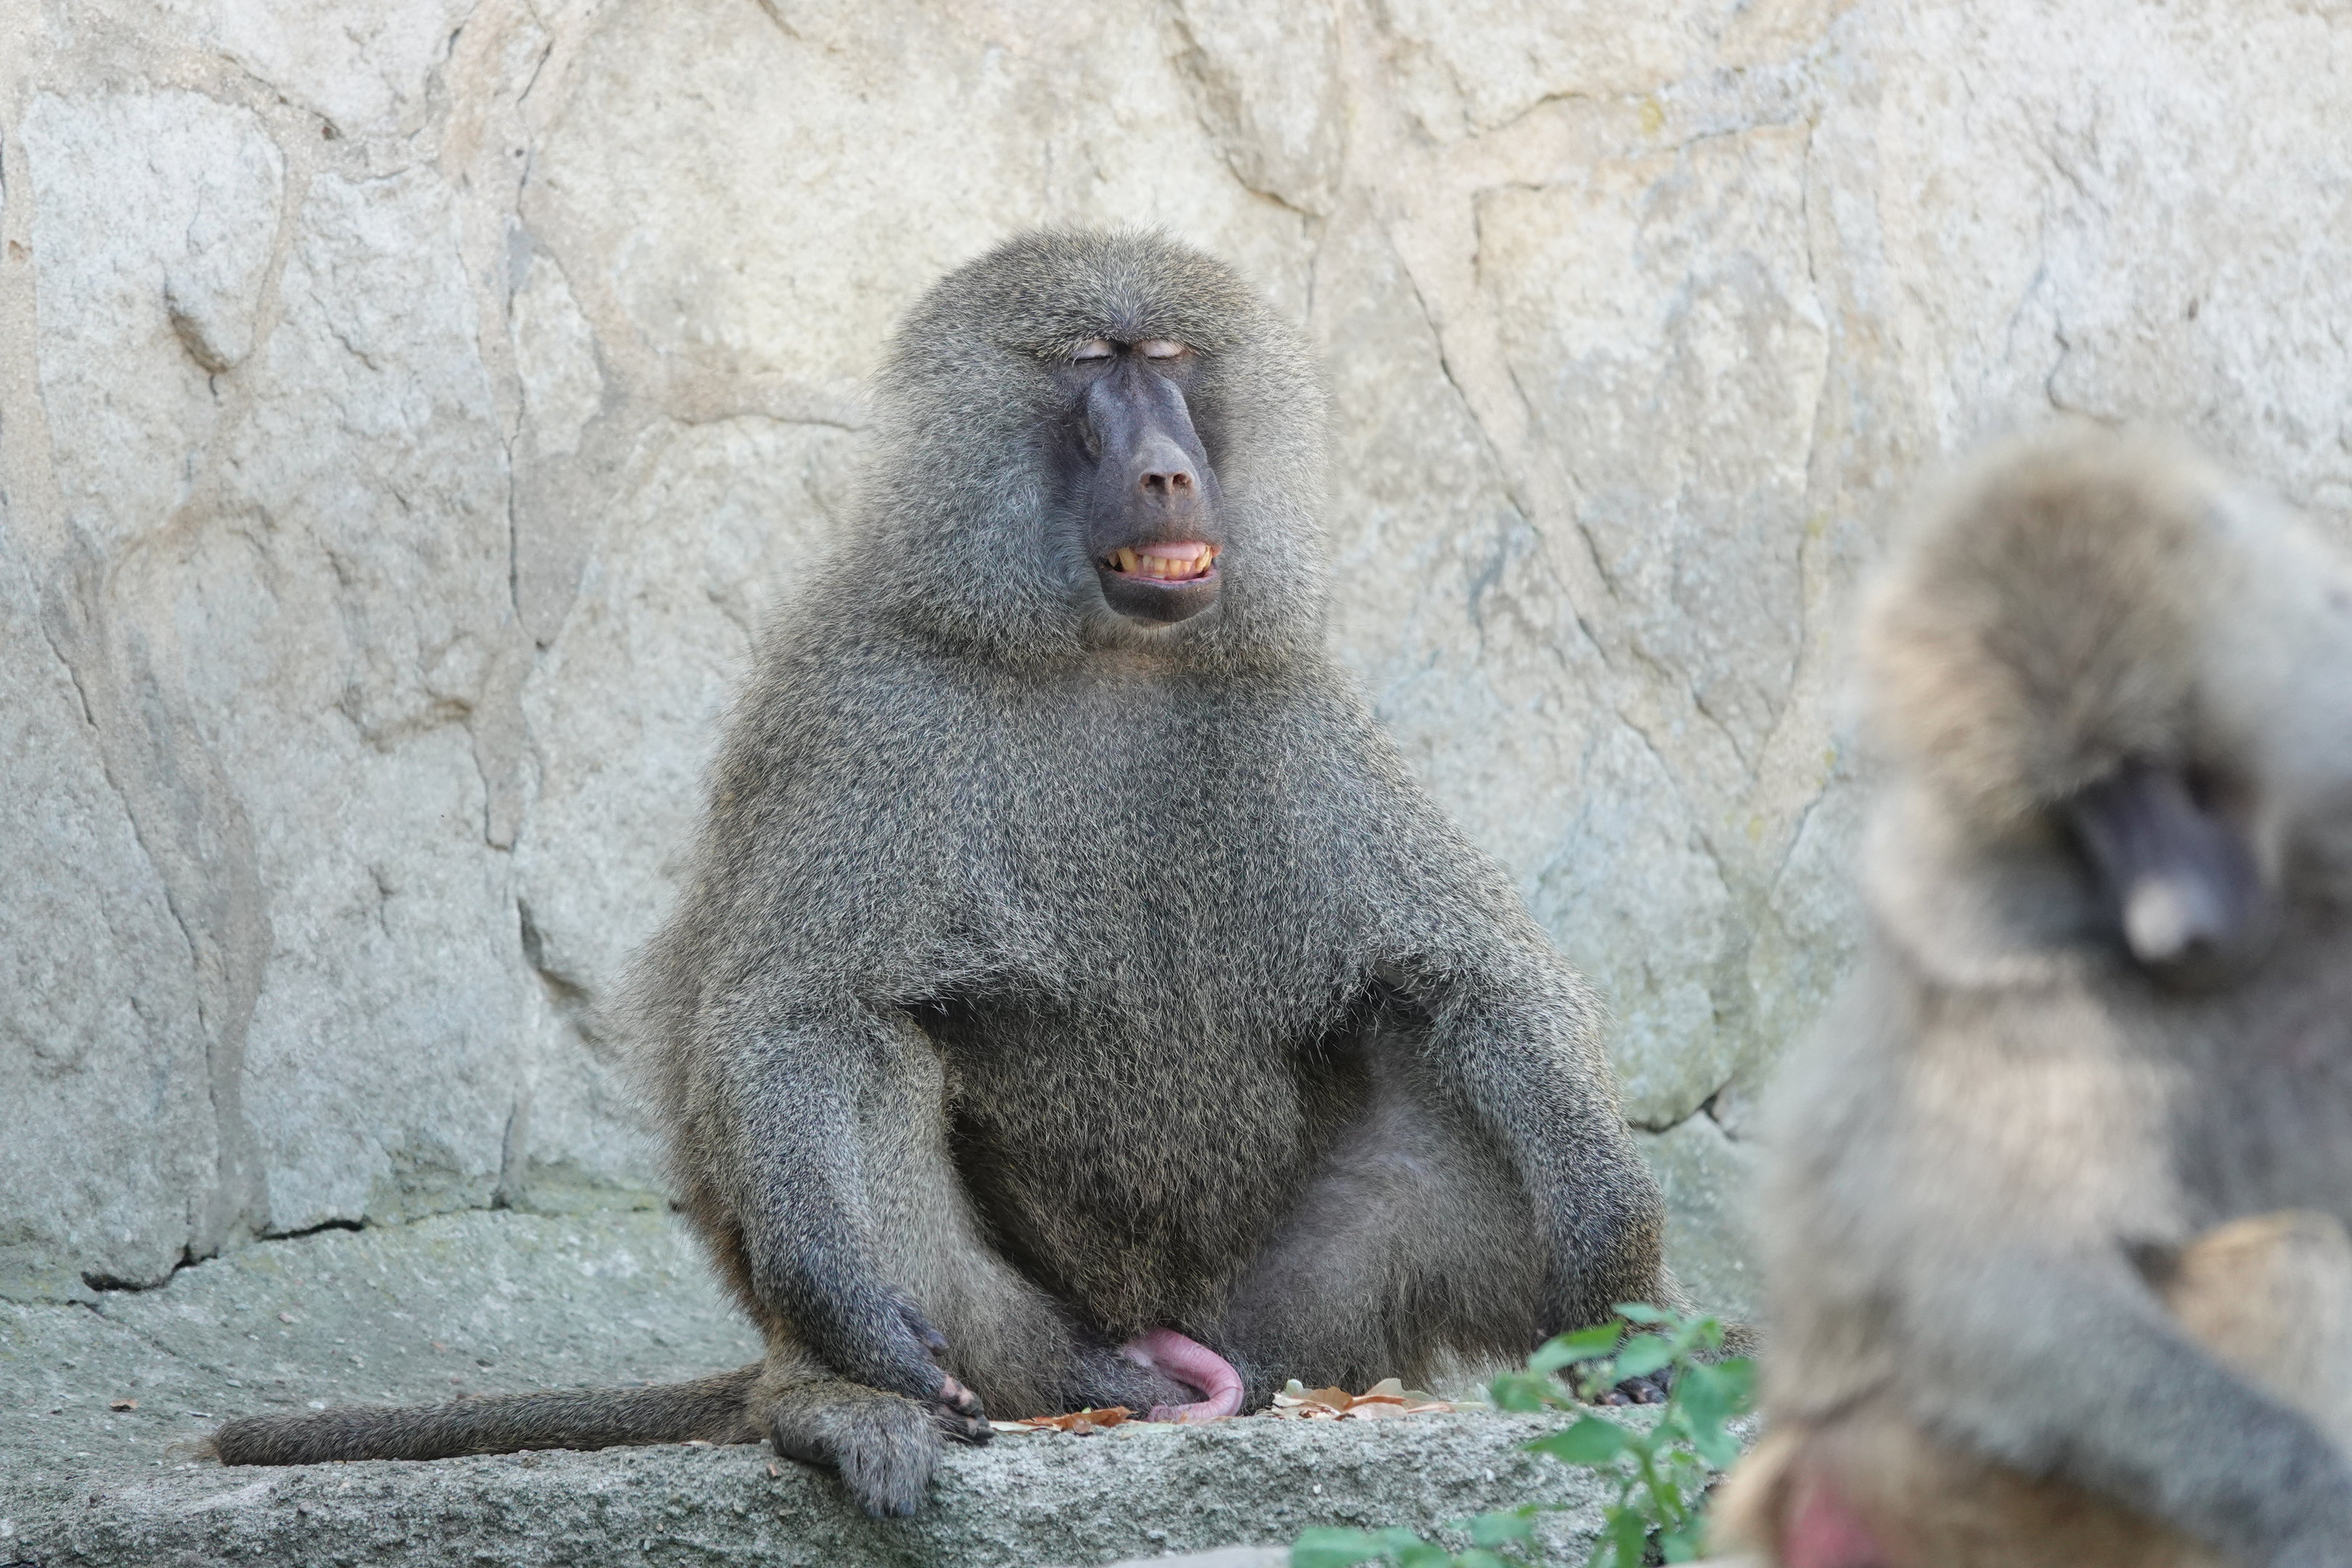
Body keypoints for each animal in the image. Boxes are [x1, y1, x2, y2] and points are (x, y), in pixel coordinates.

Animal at [209, 230, 1675, 1517]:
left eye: (1173, 362)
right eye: (1092, 366)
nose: (1167, 472)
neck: (1097, 651)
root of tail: (1161, 1344)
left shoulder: (1293, 706)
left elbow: (1472, 980)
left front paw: (1621, 1279)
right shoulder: (866, 705)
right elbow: (796, 1013)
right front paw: (853, 1325)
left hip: (1294, 1317)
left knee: (1426, 1073)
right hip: (1005, 1343)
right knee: (871, 1062)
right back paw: (842, 1402)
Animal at [1707, 425, 2352, 1568]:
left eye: (2154, 767)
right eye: (2078, 808)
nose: (2172, 931)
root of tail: (1785, 1486)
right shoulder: (2022, 1004)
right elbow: (2004, 1293)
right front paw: (2320, 1507)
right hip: (1963, 1494)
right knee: (2295, 1267)